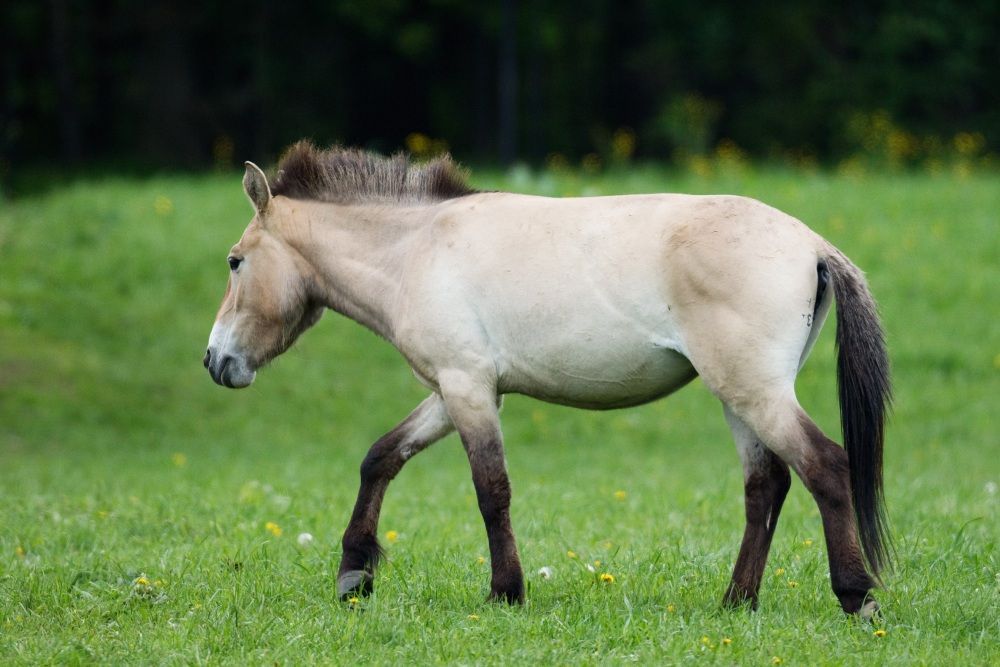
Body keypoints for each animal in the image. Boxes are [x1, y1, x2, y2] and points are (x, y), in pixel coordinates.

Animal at [203, 144, 892, 620]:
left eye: (235, 262)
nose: (215, 361)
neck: (415, 250)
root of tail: (812, 244)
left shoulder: (468, 390)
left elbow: (492, 491)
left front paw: (505, 592)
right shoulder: (457, 390)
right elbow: (381, 458)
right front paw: (354, 575)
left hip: (755, 393)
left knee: (826, 467)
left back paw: (856, 597)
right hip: (737, 396)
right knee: (765, 485)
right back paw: (736, 602)